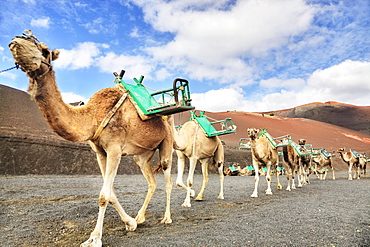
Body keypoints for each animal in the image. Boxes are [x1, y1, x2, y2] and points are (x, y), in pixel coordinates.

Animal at [8, 32, 176, 247]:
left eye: (45, 50)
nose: (18, 40)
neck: (93, 115)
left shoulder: (114, 149)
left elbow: (104, 195)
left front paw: (94, 238)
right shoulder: (100, 152)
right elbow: (111, 192)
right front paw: (130, 223)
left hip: (166, 143)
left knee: (168, 177)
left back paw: (167, 218)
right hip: (142, 154)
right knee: (151, 181)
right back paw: (140, 217)